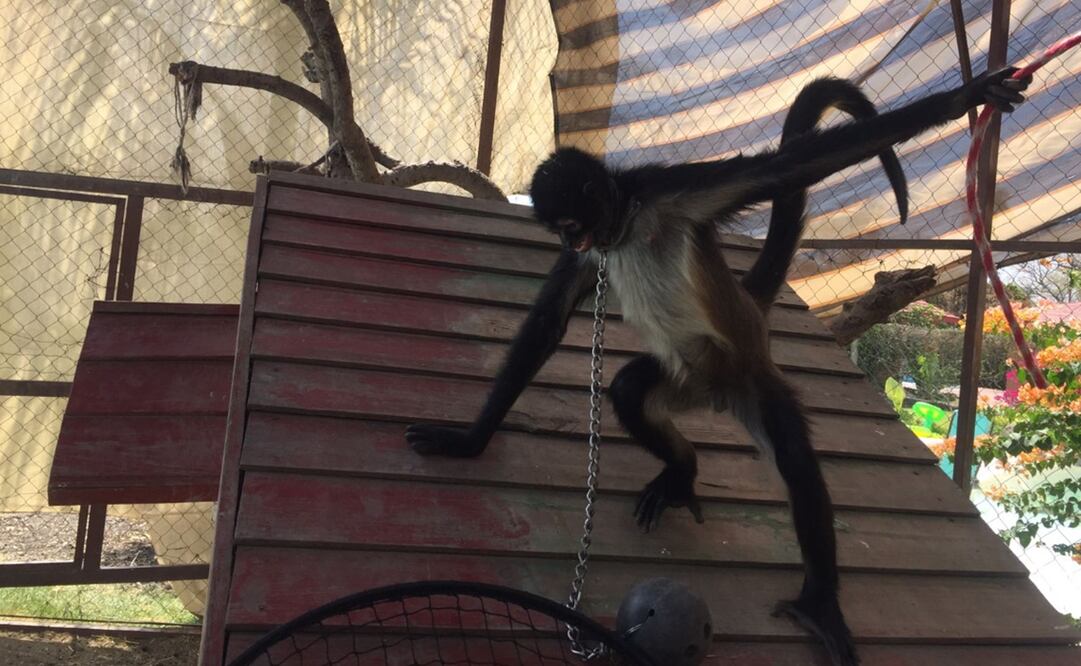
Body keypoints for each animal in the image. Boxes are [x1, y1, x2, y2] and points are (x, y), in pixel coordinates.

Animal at [406, 68, 1031, 665]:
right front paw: (469, 441)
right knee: (629, 388)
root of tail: (722, 381)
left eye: (572, 224)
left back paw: (819, 606)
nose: (573, 240)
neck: (626, 225)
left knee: (794, 457)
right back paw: (683, 470)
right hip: (685, 380)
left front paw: (964, 99)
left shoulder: (668, 189)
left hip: (750, 377)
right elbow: (547, 323)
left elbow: (780, 170)